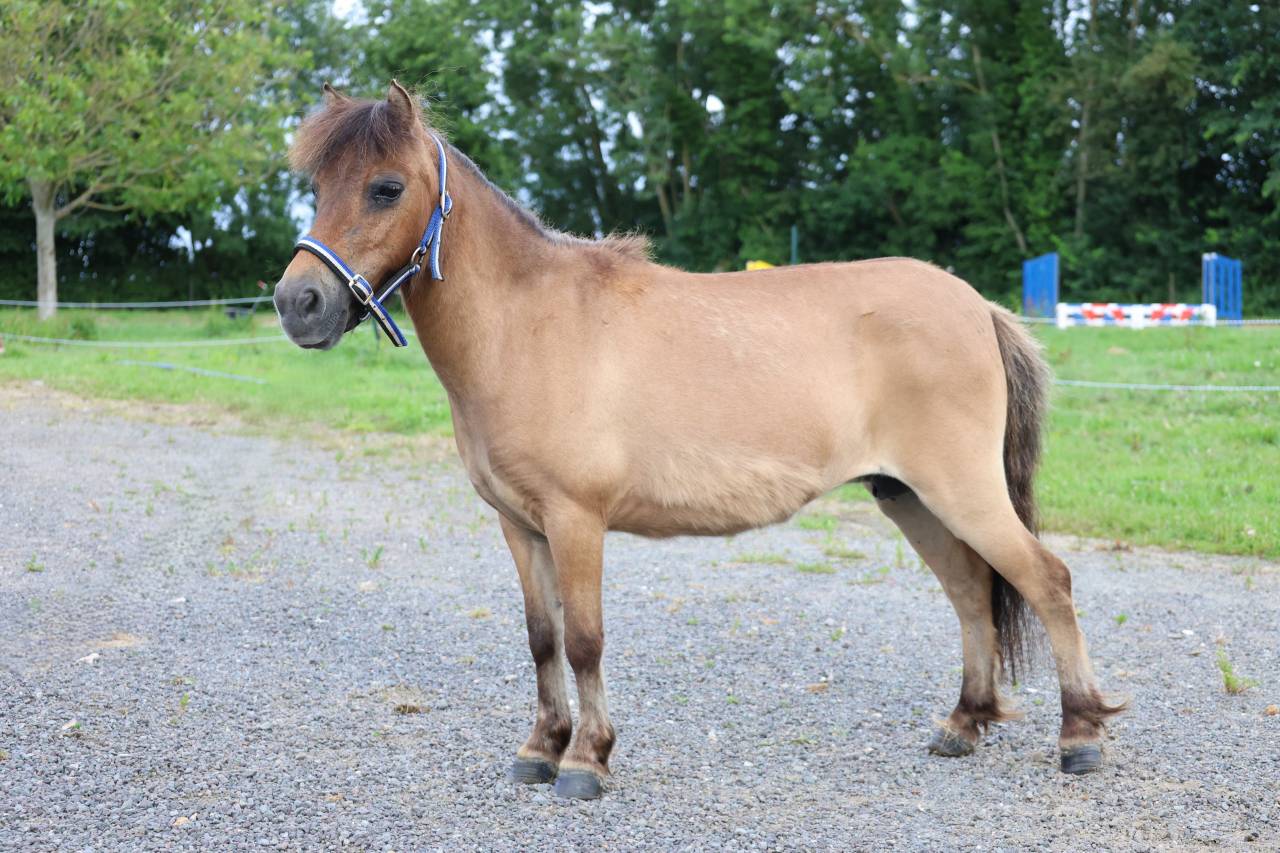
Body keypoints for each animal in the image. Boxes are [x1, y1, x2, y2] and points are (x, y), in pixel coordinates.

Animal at [273, 81, 1125, 799]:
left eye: (386, 187)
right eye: (317, 186)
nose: (297, 303)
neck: (527, 324)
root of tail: (977, 304)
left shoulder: (575, 520)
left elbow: (584, 640)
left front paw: (586, 760)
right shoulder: (519, 524)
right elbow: (542, 638)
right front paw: (540, 749)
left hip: (959, 490)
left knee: (1046, 580)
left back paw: (1080, 735)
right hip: (909, 496)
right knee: (971, 593)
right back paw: (963, 724)